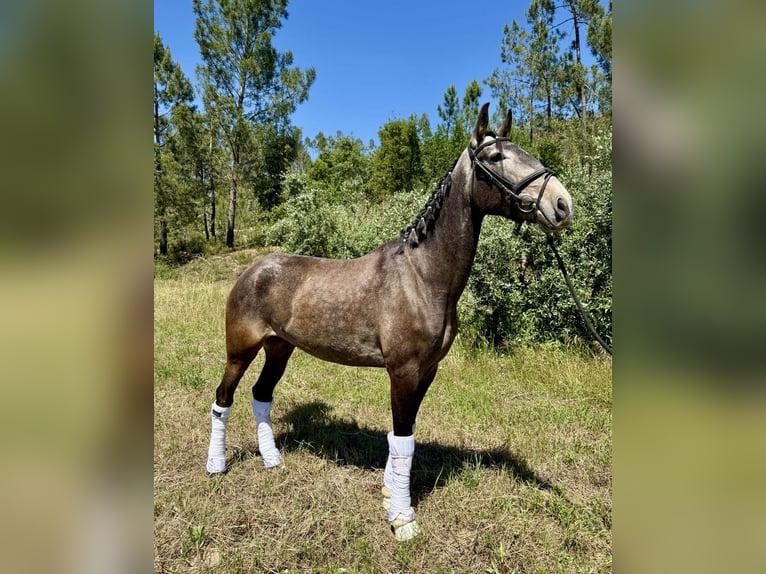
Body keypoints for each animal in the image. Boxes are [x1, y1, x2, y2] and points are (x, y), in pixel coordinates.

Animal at [205, 102, 573, 541]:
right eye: (497, 157)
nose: (562, 204)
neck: (422, 276)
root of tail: (252, 269)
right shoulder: (403, 370)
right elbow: (402, 439)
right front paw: (402, 518)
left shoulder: (427, 372)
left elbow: (406, 432)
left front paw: (389, 496)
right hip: (240, 350)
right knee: (223, 398)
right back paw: (216, 466)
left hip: (280, 348)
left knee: (261, 396)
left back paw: (272, 460)